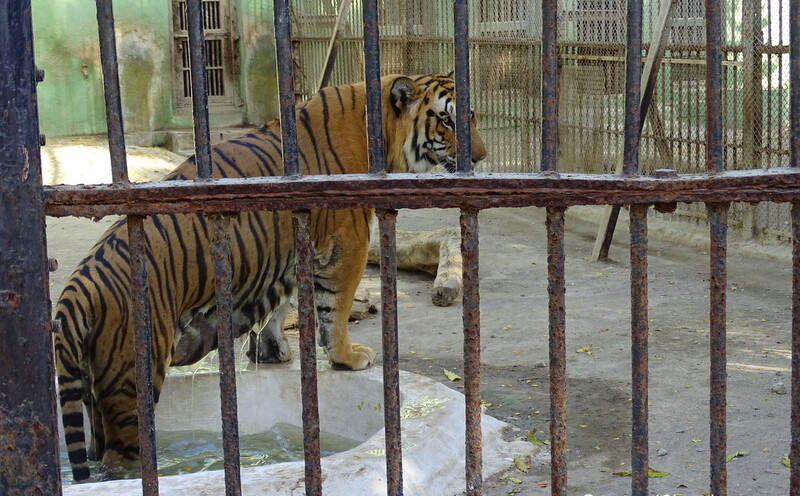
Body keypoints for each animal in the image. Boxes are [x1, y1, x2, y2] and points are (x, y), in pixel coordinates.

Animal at [53, 72, 487, 481]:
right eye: (447, 121)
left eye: (470, 116)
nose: (481, 158)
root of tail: (78, 289)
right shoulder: (346, 244)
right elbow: (334, 310)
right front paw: (346, 357)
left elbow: (283, 303)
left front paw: (270, 350)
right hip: (130, 377)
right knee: (119, 457)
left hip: (96, 386)